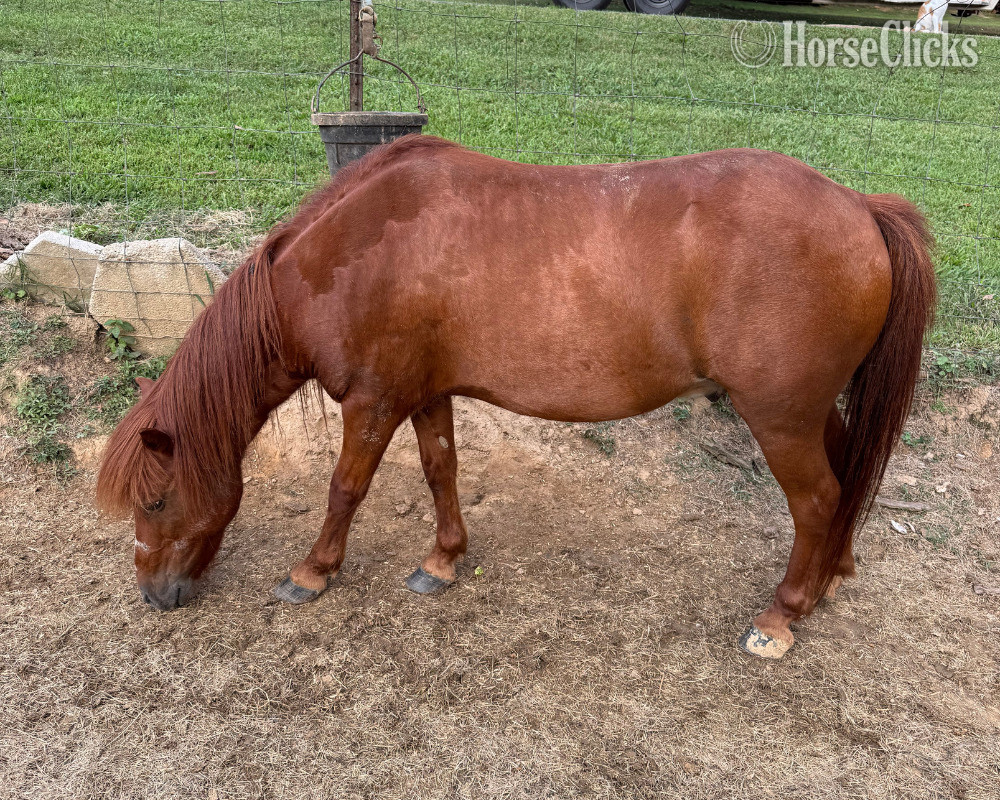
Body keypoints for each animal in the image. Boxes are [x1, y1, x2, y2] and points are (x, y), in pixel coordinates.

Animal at [96, 135, 936, 659]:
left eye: (159, 500)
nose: (154, 596)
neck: (355, 253)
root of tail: (859, 206)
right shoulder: (424, 393)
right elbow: (440, 470)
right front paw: (442, 560)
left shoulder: (372, 402)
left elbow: (345, 489)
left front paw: (313, 572)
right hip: (811, 410)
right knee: (846, 483)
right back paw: (831, 579)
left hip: (779, 417)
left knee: (818, 501)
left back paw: (782, 614)